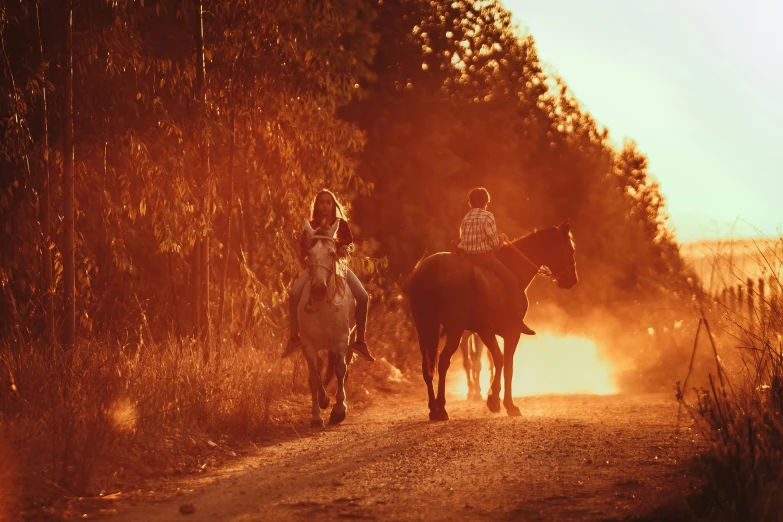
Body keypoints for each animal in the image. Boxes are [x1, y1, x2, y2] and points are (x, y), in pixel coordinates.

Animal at [300, 217, 356, 424]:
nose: (318, 289)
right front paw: (317, 414)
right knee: (321, 365)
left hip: (351, 341)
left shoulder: (341, 341)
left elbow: (340, 370)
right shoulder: (308, 344)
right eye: (309, 252)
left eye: (332, 253)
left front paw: (339, 410)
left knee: (342, 368)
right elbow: (314, 377)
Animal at [408, 219, 580, 418]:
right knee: (444, 362)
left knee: (427, 366)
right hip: (454, 329)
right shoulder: (509, 332)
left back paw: (434, 409)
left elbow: (497, 360)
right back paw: (442, 408)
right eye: (570, 249)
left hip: (425, 327)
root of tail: (428, 271)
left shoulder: (486, 332)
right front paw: (507, 404)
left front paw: (495, 400)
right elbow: (506, 365)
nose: (572, 280)